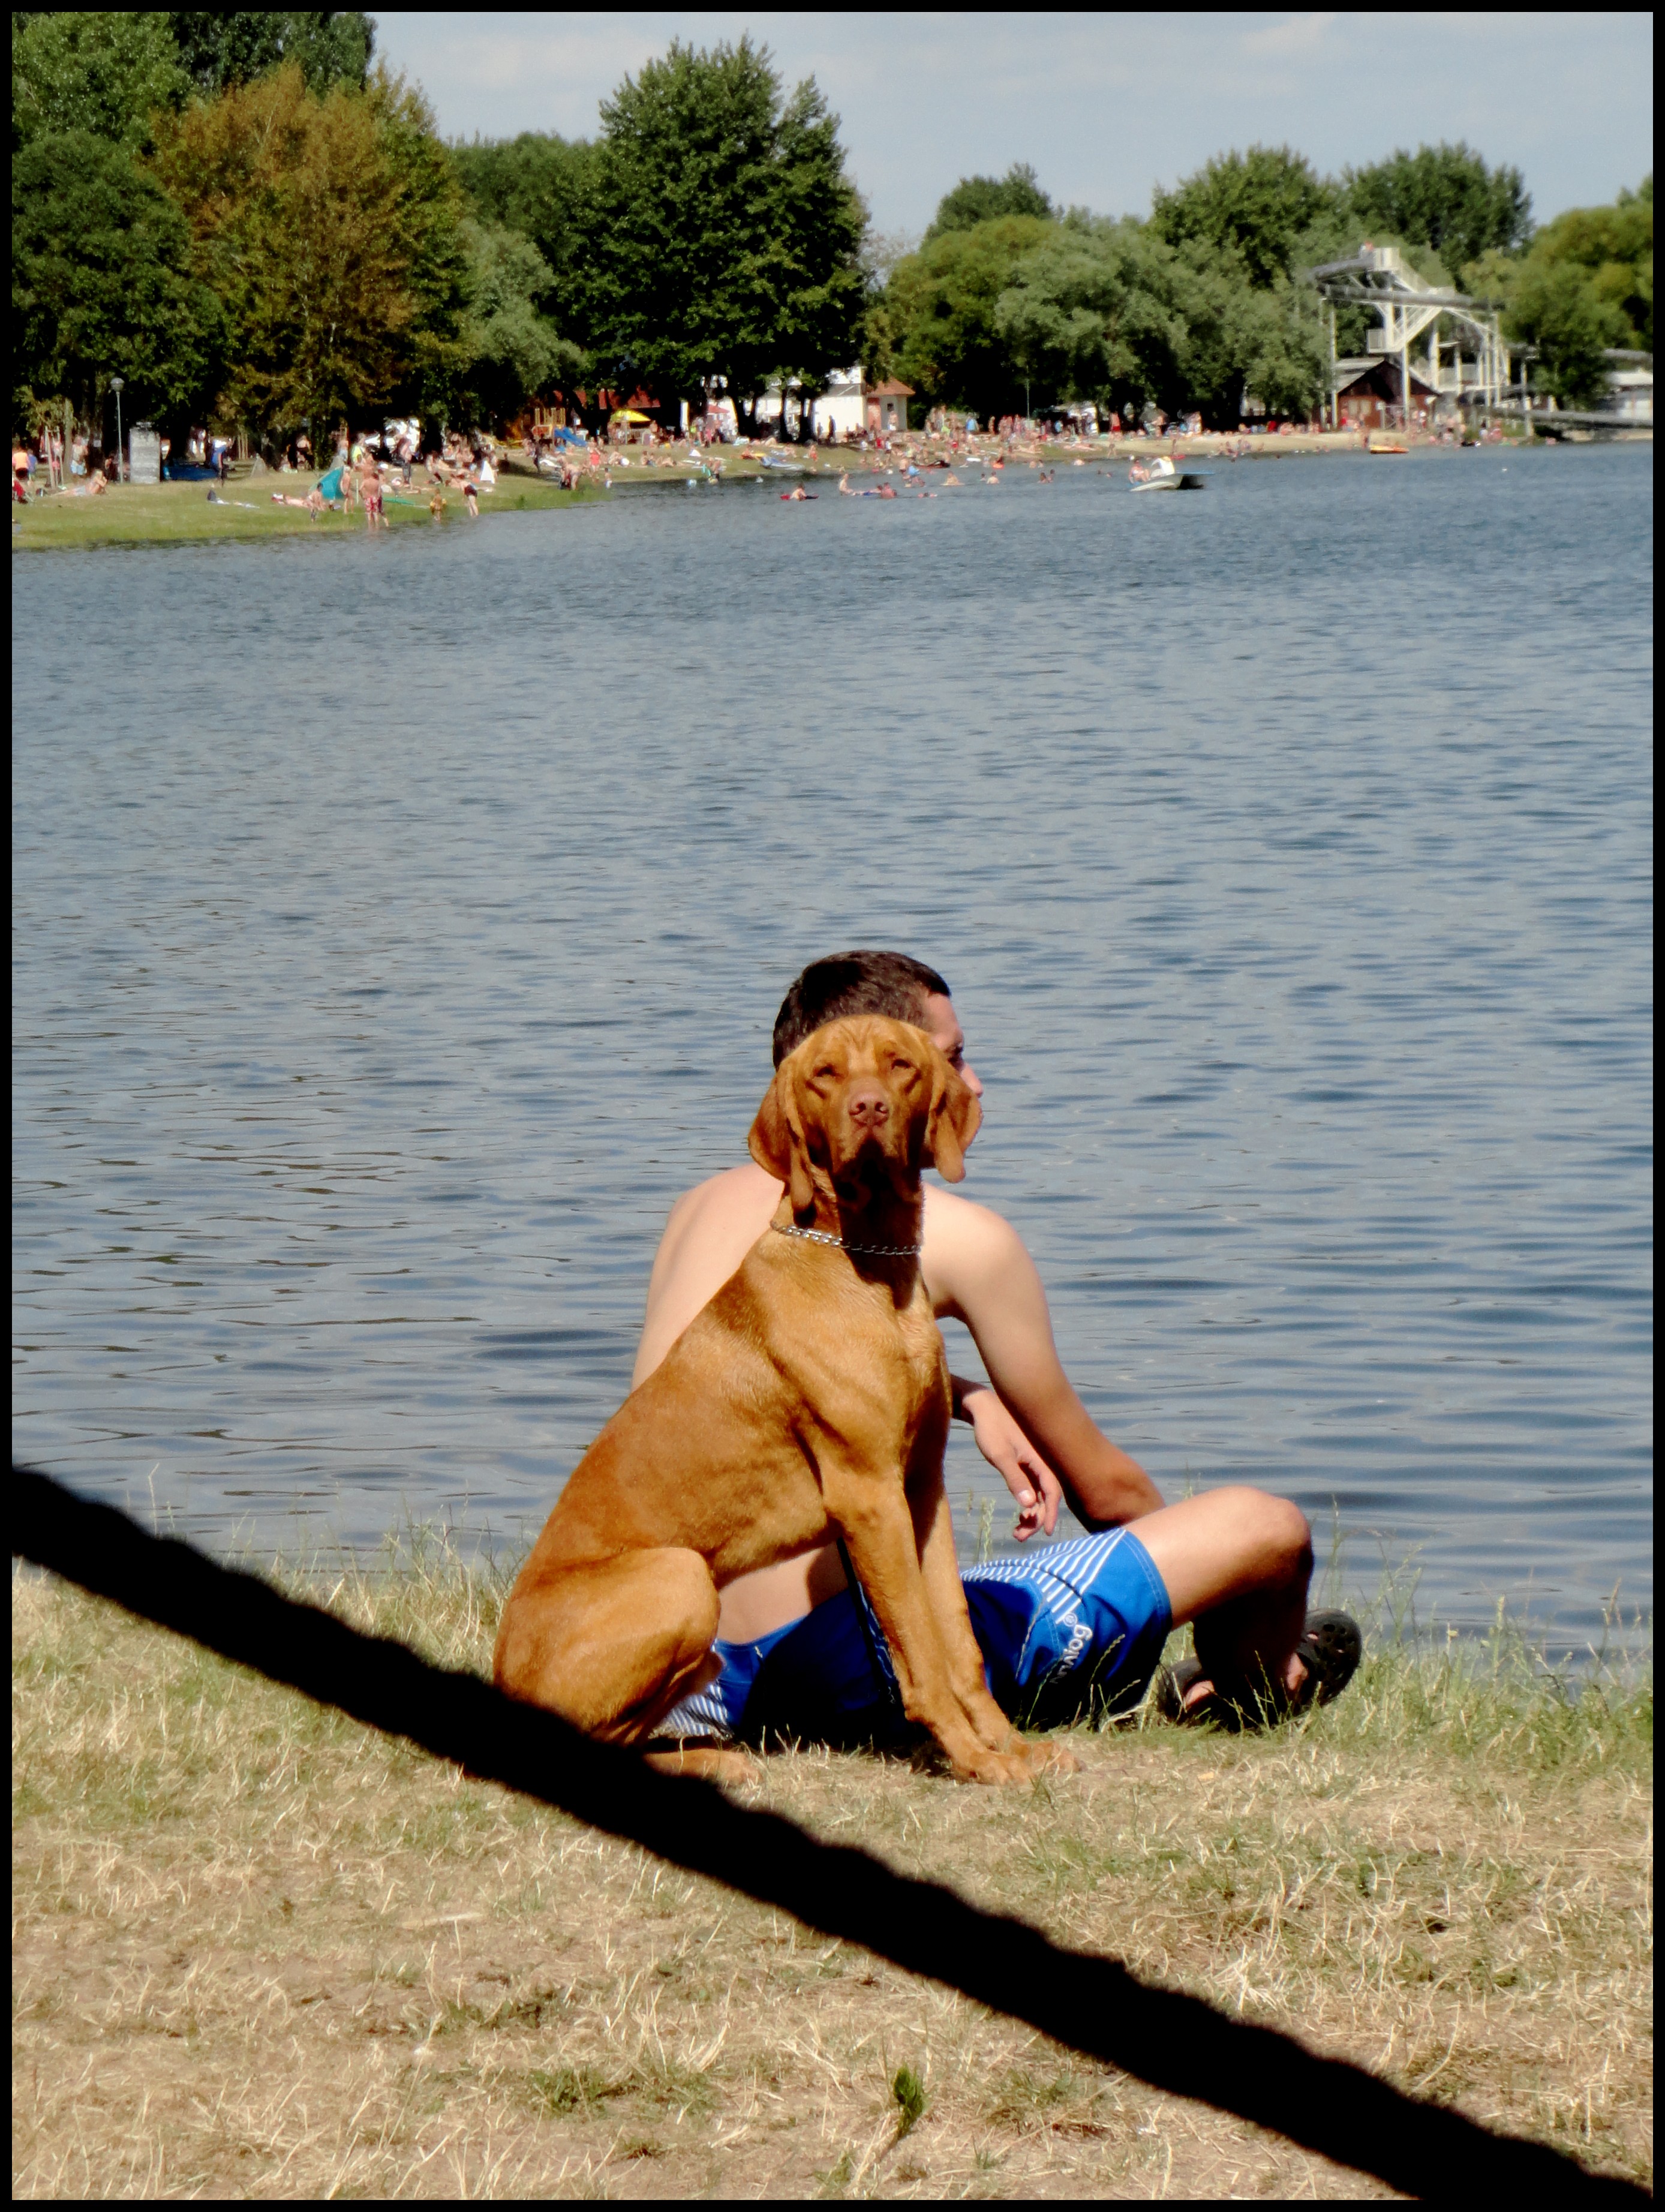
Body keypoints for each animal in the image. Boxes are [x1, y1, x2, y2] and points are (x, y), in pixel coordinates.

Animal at [493, 1013, 1065, 1778]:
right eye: (825, 1074)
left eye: (900, 1065)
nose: (868, 1109)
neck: (868, 1262)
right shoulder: (868, 1494)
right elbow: (919, 1647)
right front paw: (975, 1759)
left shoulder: (921, 1488)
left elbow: (958, 1635)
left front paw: (1009, 1745)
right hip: (682, 1576)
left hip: (700, 1650)